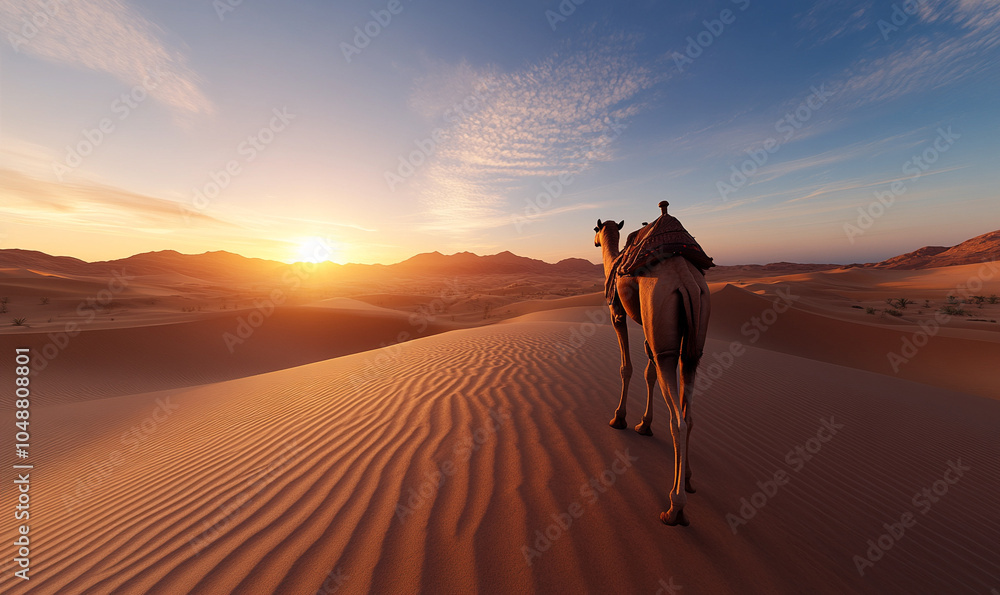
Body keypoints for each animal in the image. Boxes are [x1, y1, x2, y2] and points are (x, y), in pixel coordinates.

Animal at [593, 202, 711, 526]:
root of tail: (687, 281)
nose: (594, 241)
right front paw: (643, 424)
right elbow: (649, 373)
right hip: (693, 343)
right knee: (688, 409)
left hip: (665, 338)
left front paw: (619, 418)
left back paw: (674, 507)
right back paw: (689, 480)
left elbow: (628, 368)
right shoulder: (648, 328)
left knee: (678, 420)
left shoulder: (617, 312)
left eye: (596, 229)